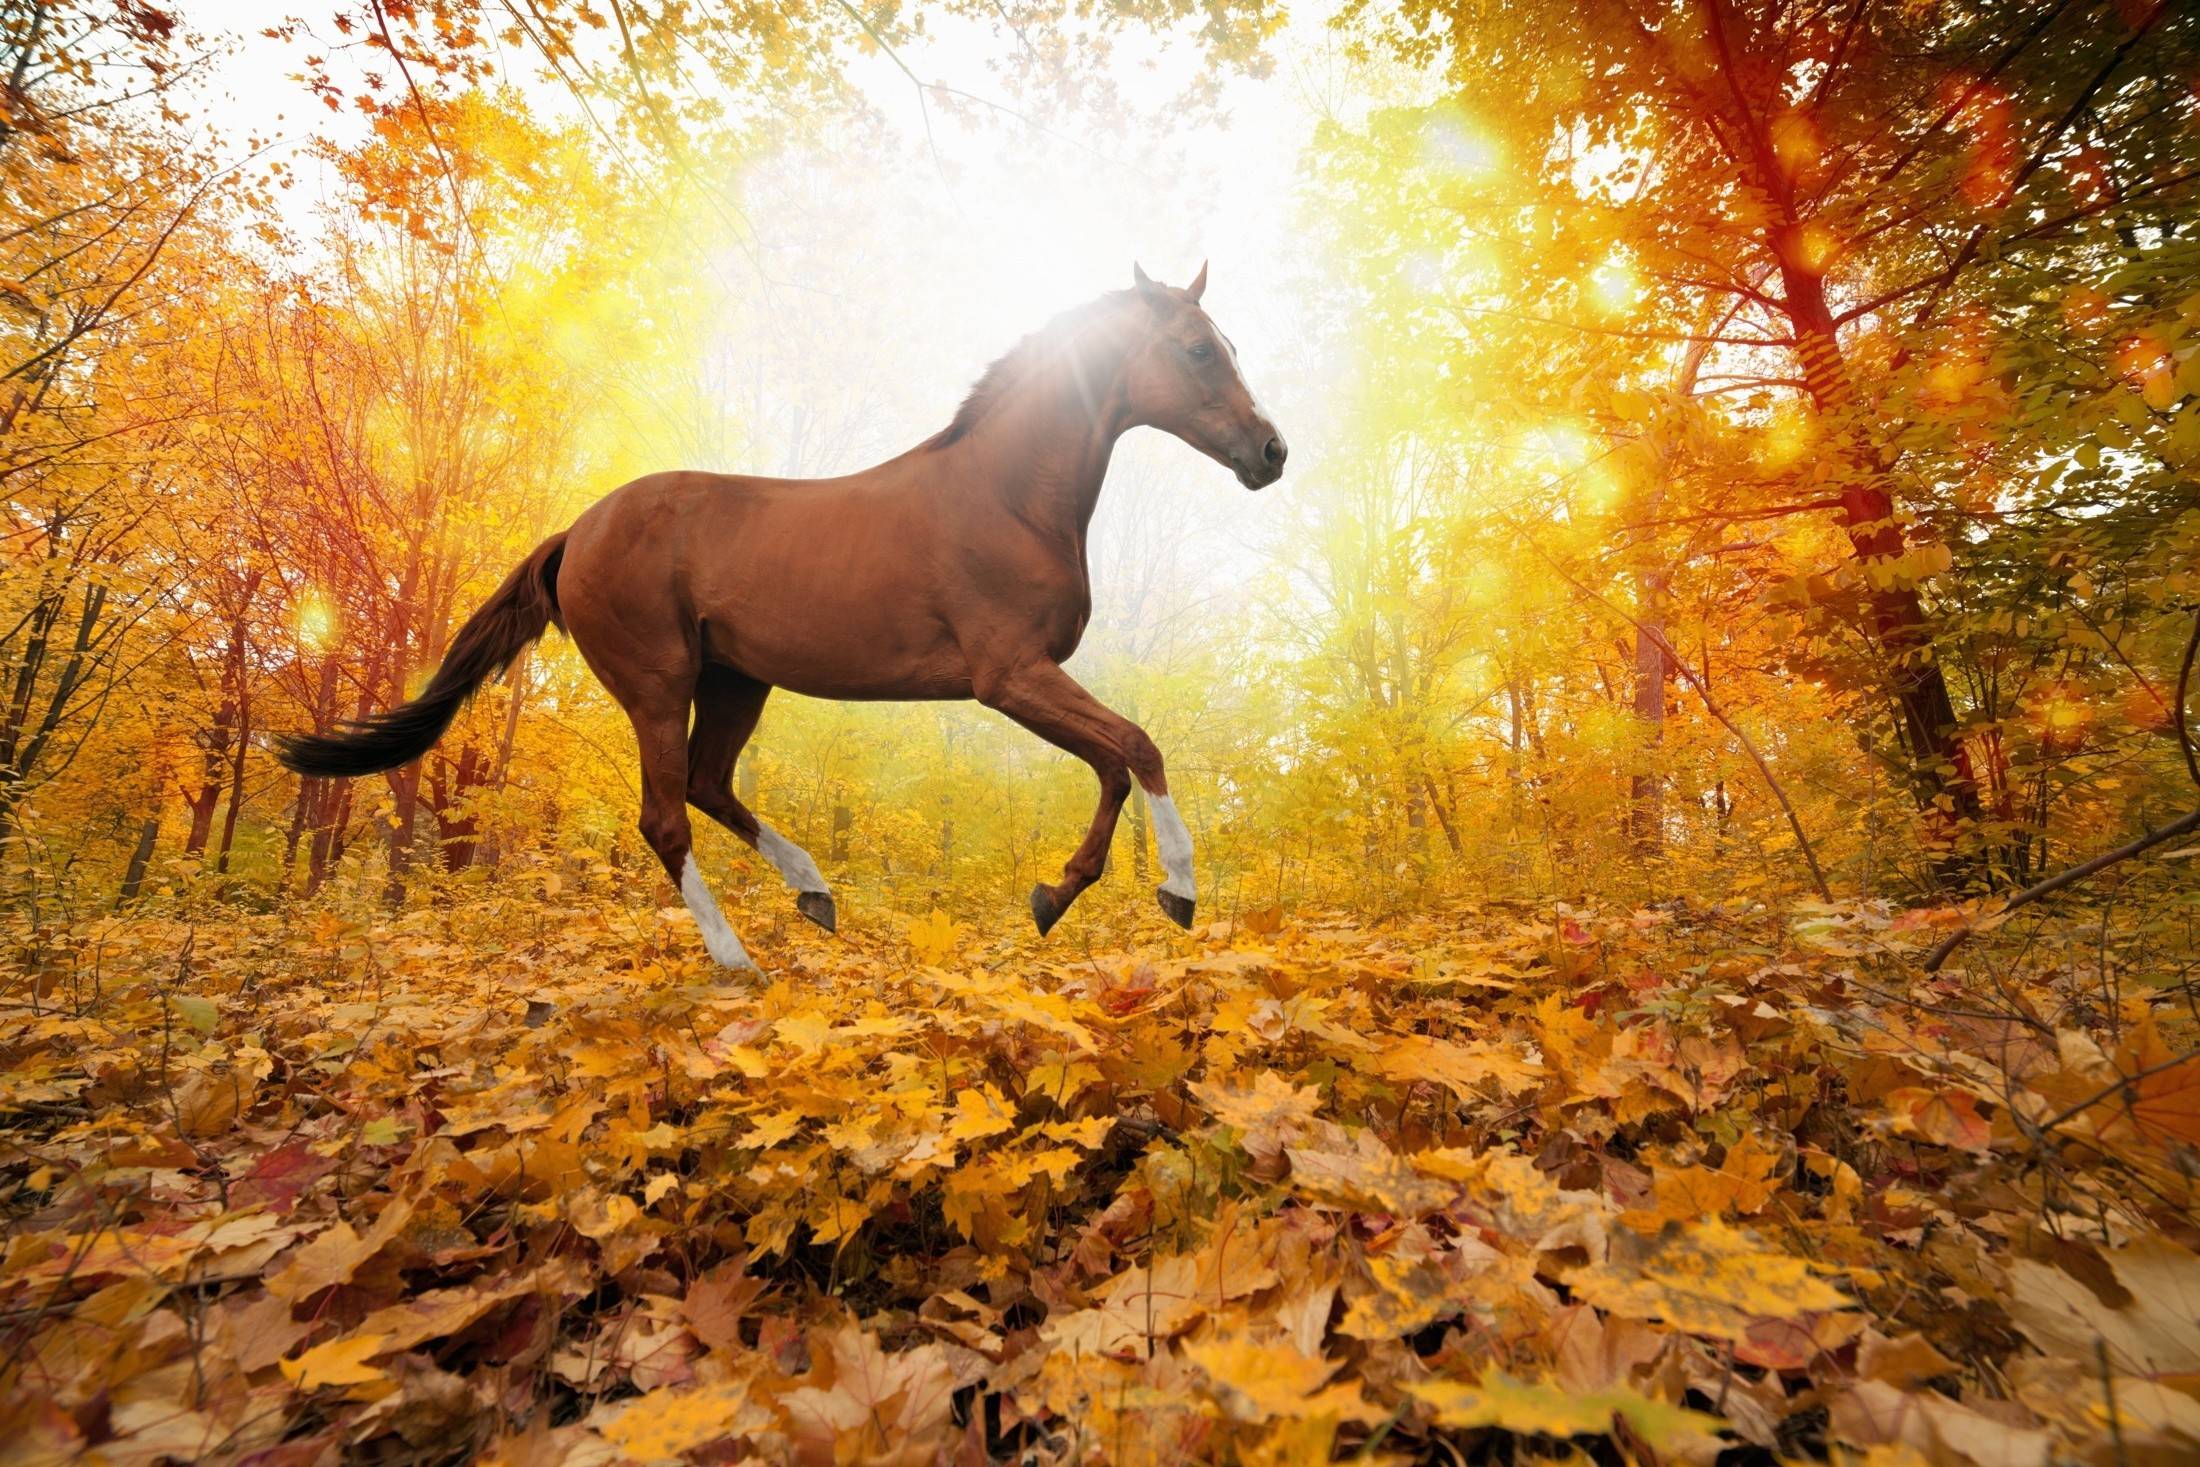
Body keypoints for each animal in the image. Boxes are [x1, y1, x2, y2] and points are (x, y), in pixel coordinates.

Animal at [276, 263, 1287, 969]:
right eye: (1199, 348)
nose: (1272, 452)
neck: (1005, 496)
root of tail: (577, 532)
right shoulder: (1009, 677)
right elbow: (1139, 746)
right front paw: (1179, 889)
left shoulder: (1026, 681)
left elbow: (1113, 762)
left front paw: (1056, 894)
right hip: (659, 683)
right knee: (666, 817)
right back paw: (739, 960)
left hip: (737, 681)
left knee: (708, 786)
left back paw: (815, 893)